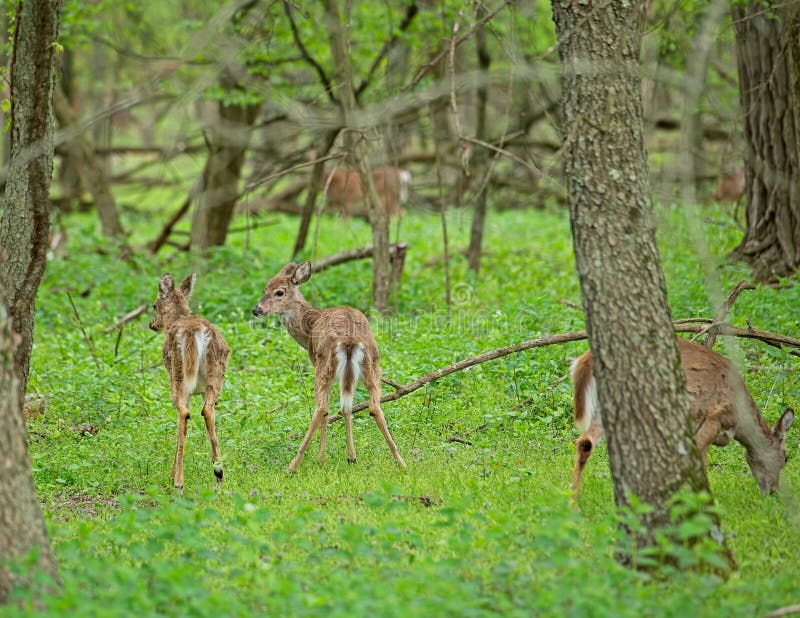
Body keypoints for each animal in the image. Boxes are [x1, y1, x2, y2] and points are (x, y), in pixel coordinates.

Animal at [149, 272, 228, 488]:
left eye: (154, 305)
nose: (152, 325)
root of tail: (192, 331)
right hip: (214, 375)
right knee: (207, 410)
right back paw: (218, 471)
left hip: (177, 376)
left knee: (183, 413)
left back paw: (178, 480)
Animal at [252, 258, 406, 470]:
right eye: (264, 289)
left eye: (279, 292)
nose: (256, 310)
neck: (310, 326)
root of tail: (349, 340)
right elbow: (346, 408)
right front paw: (351, 456)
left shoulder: (319, 363)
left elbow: (331, 411)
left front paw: (322, 457)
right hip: (373, 365)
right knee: (374, 406)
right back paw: (401, 461)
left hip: (324, 367)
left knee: (321, 409)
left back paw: (293, 465)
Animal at [568, 336, 792, 500]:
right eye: (786, 457)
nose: (774, 492)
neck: (740, 422)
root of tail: (586, 359)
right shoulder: (715, 417)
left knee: (585, 442)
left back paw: (574, 503)